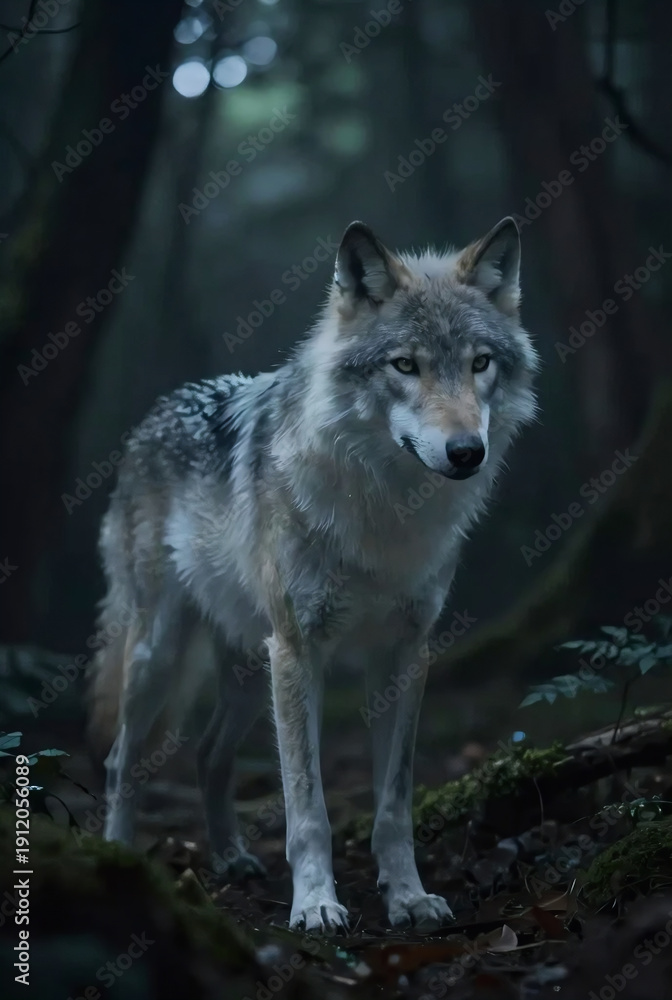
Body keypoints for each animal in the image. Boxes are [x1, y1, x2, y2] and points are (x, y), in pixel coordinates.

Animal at [89, 216, 538, 933]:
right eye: (405, 365)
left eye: (479, 363)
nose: (467, 452)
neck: (387, 510)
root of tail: (156, 411)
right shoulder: (301, 651)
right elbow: (307, 806)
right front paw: (317, 904)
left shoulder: (405, 653)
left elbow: (393, 803)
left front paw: (407, 897)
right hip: (164, 656)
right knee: (119, 761)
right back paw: (120, 857)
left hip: (251, 671)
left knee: (209, 755)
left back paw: (232, 858)